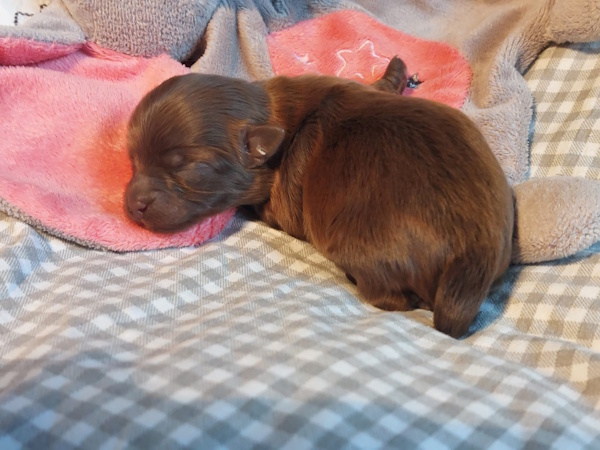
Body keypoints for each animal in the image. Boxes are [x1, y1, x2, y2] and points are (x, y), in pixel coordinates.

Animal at [125, 57, 514, 338]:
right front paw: (396, 71)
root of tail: (472, 253)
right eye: (133, 159)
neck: (272, 114)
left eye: (189, 168)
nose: (133, 205)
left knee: (389, 297)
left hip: (363, 249)